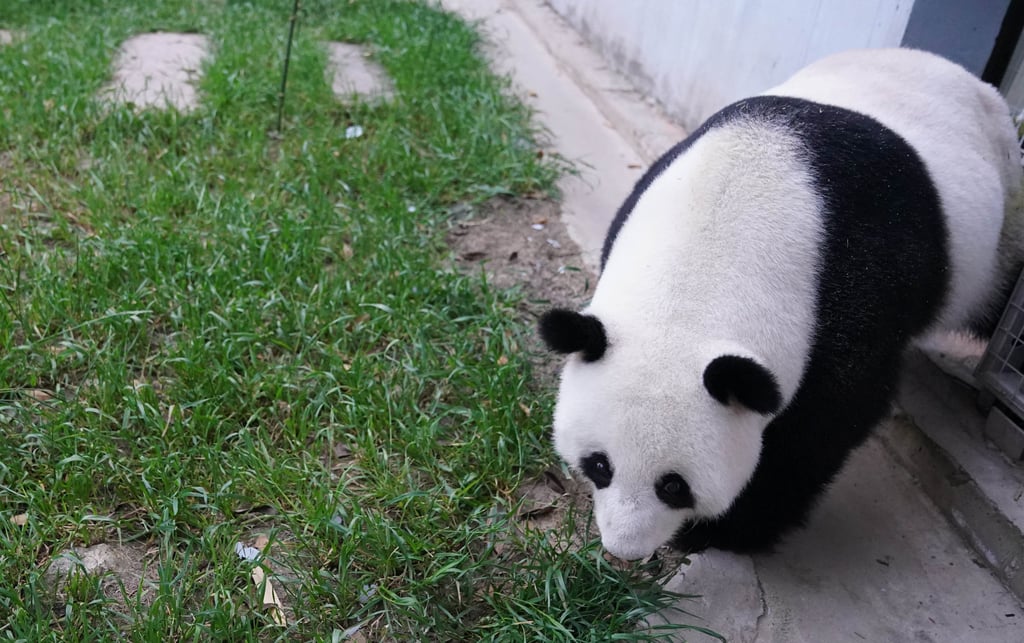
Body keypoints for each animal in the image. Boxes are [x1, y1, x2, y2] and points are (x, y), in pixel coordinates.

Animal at [538, 48, 1024, 561]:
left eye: (673, 486)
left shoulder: (854, 282)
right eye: (599, 465)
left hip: (1001, 223)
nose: (625, 549)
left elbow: (823, 423)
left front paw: (725, 530)